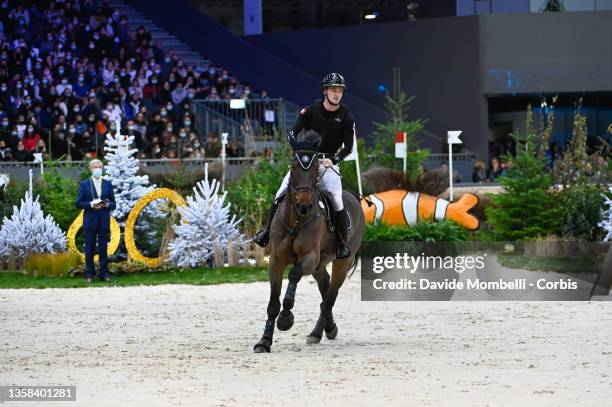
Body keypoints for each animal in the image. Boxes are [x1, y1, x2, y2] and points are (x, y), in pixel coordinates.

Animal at [253, 147, 364, 354]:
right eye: (293, 168)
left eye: (315, 171)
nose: (304, 205)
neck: (295, 220)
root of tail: (355, 198)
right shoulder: (276, 261)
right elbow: (273, 304)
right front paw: (264, 342)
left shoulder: (309, 258)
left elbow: (294, 274)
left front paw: (285, 319)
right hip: (319, 266)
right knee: (325, 290)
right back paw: (330, 328)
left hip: (341, 263)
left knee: (330, 297)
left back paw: (316, 333)